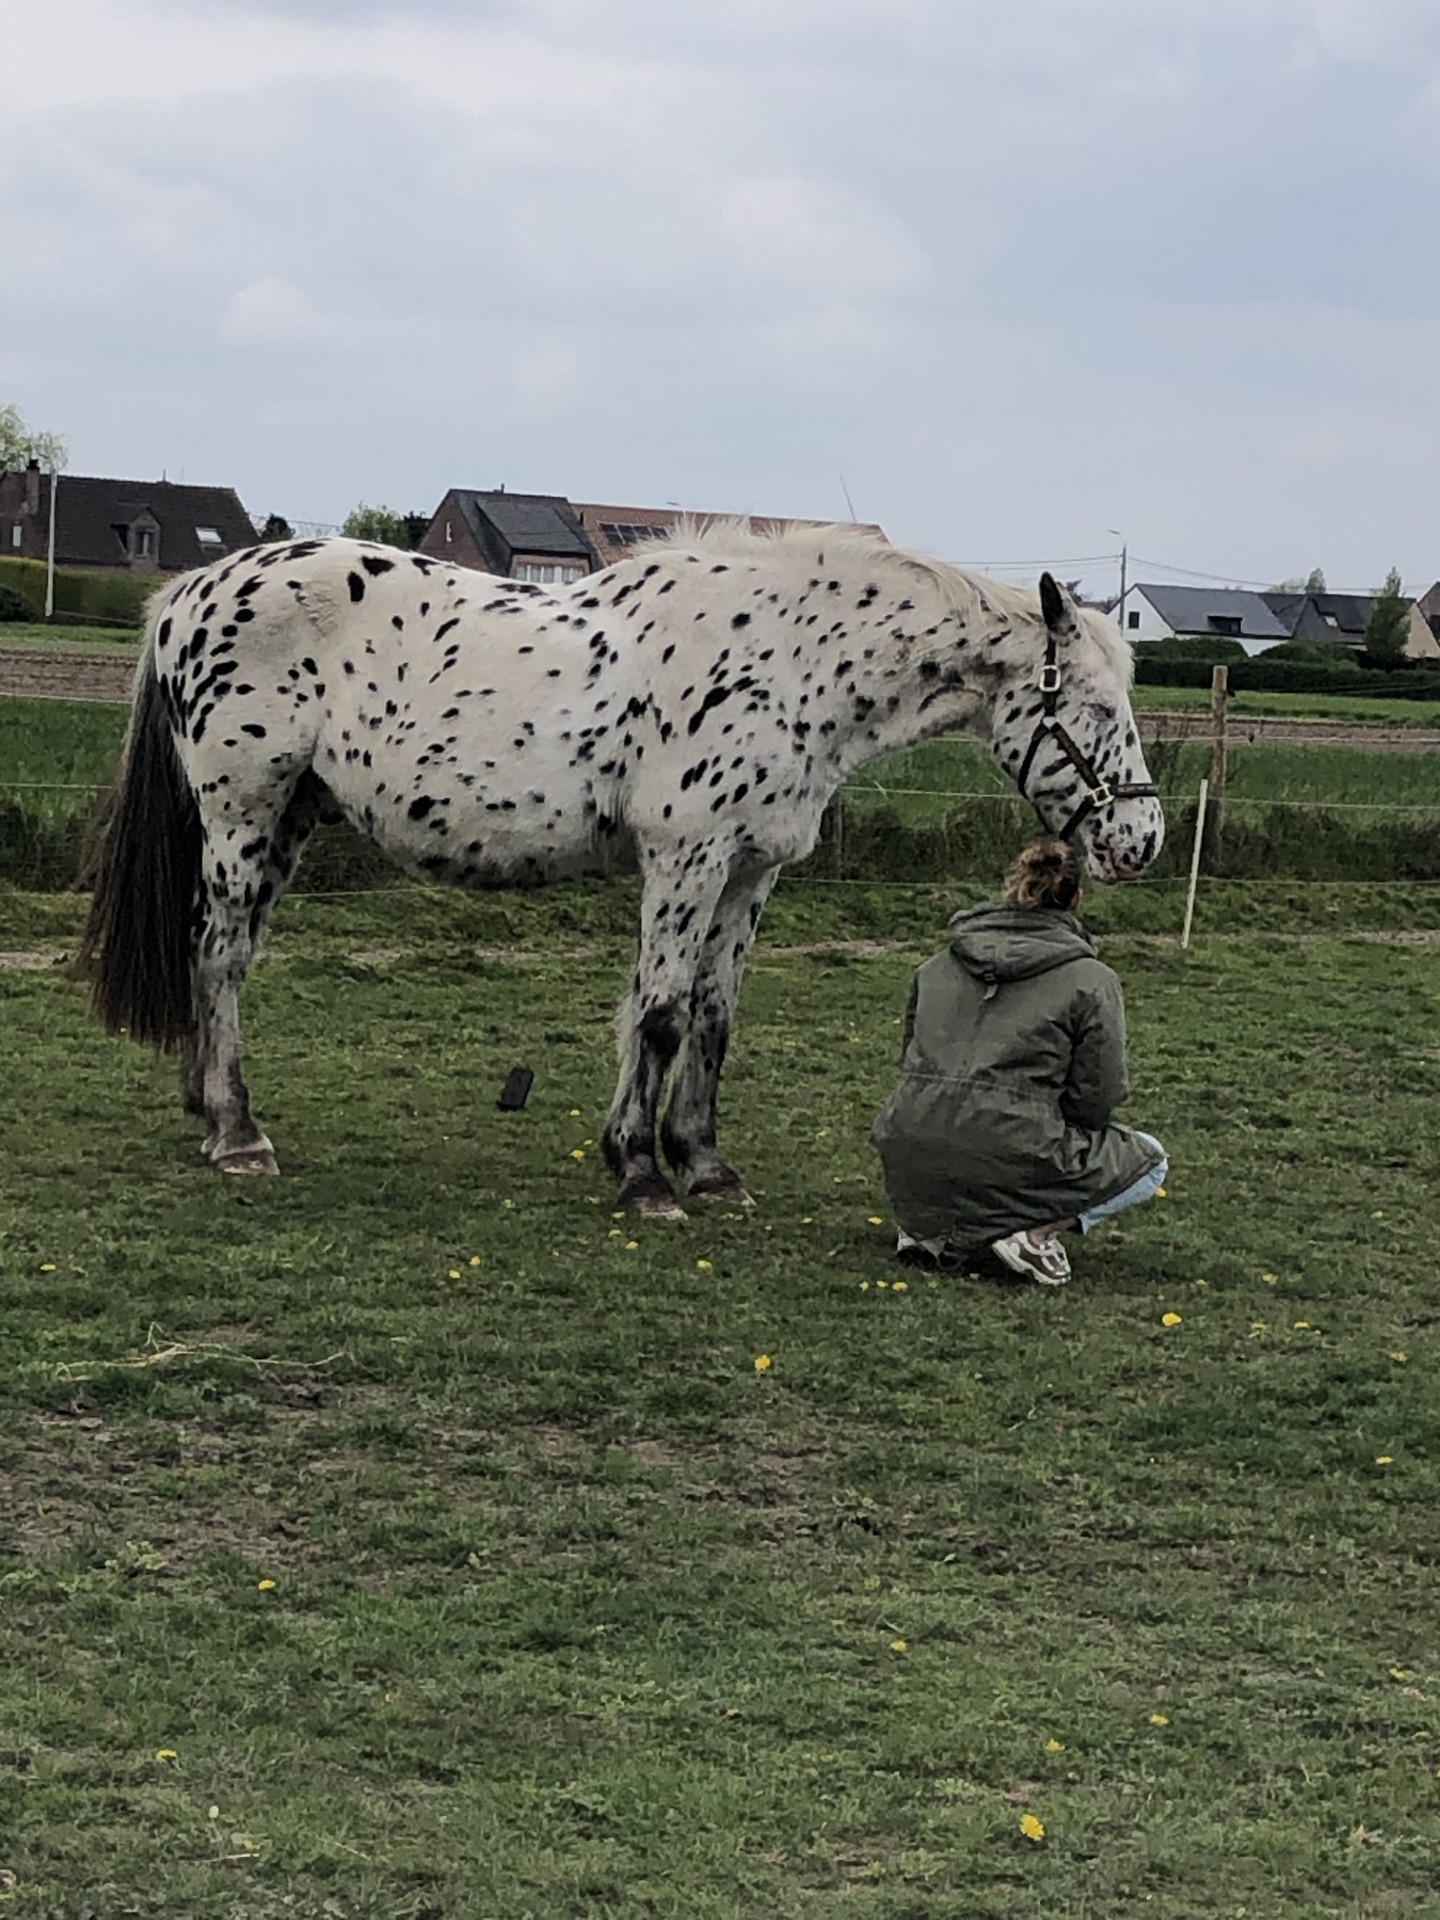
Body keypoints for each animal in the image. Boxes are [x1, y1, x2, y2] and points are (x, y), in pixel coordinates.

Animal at [80, 521, 1163, 1216]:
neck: (790, 660)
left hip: (288, 820)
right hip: (243, 812)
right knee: (219, 957)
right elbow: (662, 1014)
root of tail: (188, 594)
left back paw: (207, 1107)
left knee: (218, 954)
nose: (1142, 839)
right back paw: (236, 1135)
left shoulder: (748, 872)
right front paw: (643, 1177)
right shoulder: (686, 858)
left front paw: (704, 1166)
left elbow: (713, 1019)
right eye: (1094, 705)